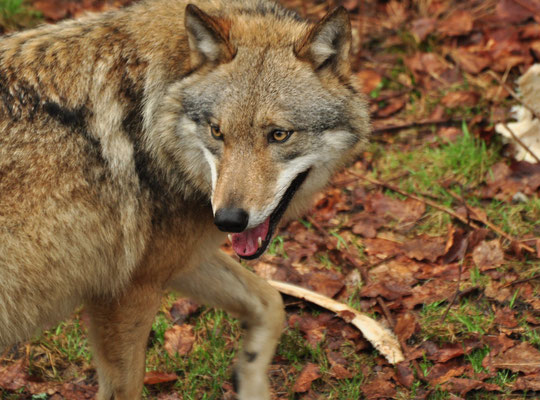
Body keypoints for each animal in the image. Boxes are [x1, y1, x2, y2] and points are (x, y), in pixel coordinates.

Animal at [0, 0, 368, 396]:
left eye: (279, 135)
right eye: (217, 131)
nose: (228, 220)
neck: (151, 118)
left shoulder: (177, 262)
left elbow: (271, 302)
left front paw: (251, 383)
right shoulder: (126, 293)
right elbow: (125, 388)